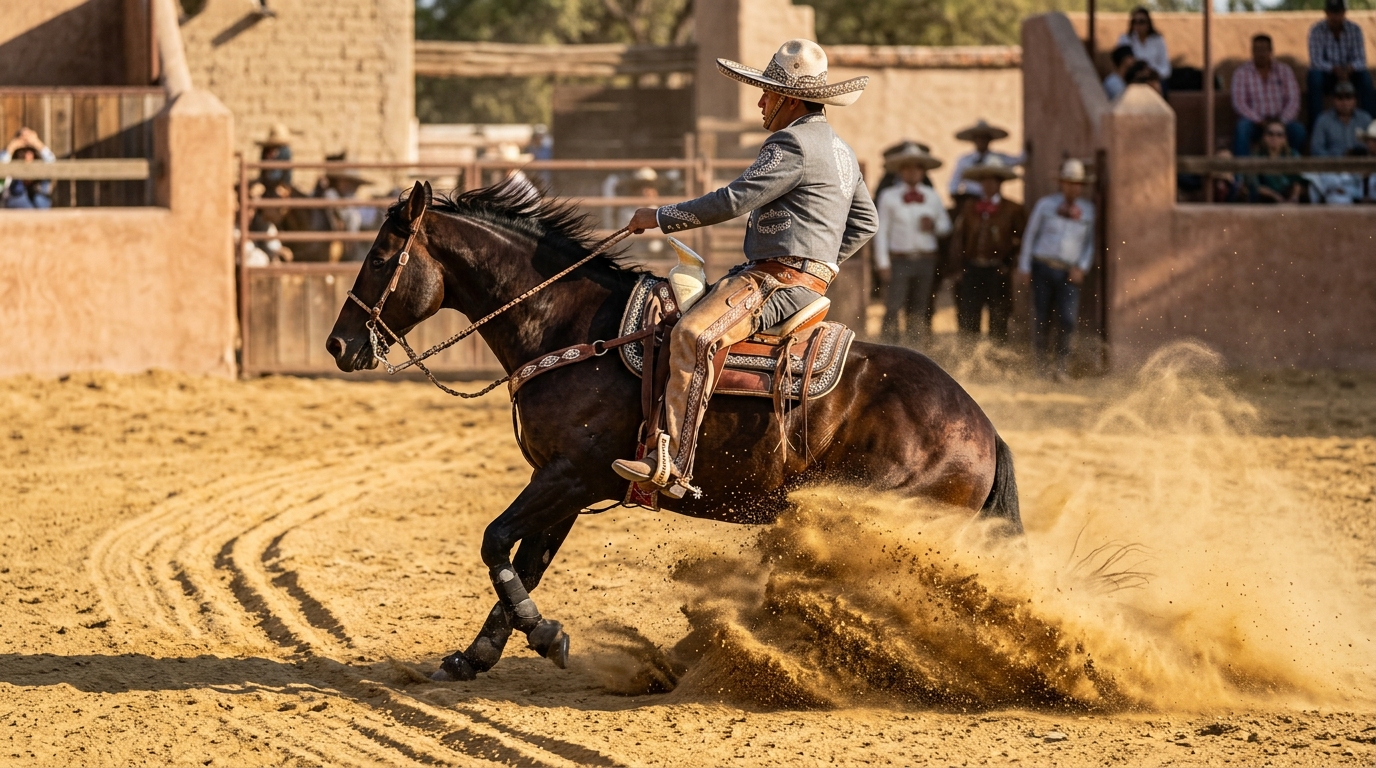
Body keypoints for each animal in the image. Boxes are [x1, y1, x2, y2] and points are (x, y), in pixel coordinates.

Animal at [326, 180, 1022, 682]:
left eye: (381, 257)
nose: (338, 345)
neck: (575, 328)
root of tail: (984, 430)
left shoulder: (567, 477)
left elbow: (495, 543)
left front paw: (544, 635)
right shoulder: (568, 485)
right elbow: (526, 563)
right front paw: (478, 656)